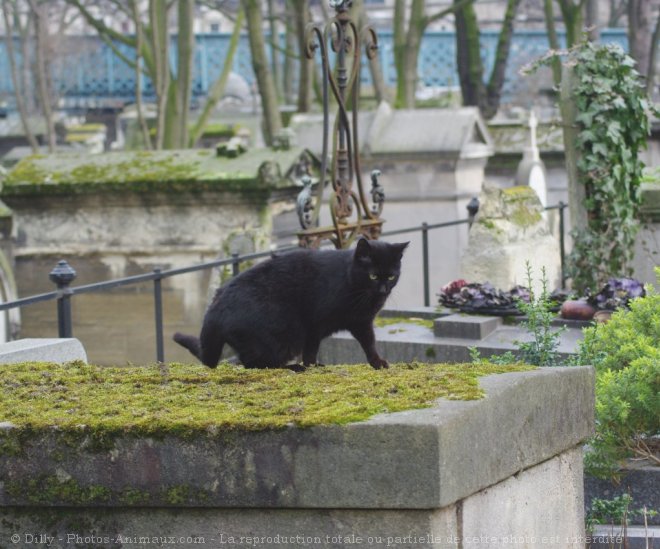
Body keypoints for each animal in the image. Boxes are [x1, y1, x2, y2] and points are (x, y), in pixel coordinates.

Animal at [173, 238, 408, 370]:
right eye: (373, 276)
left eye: (391, 276)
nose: (383, 290)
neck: (352, 282)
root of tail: (214, 308)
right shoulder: (316, 323)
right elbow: (313, 348)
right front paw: (312, 365)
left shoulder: (361, 322)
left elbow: (368, 343)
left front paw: (377, 362)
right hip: (282, 335)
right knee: (255, 364)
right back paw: (294, 368)